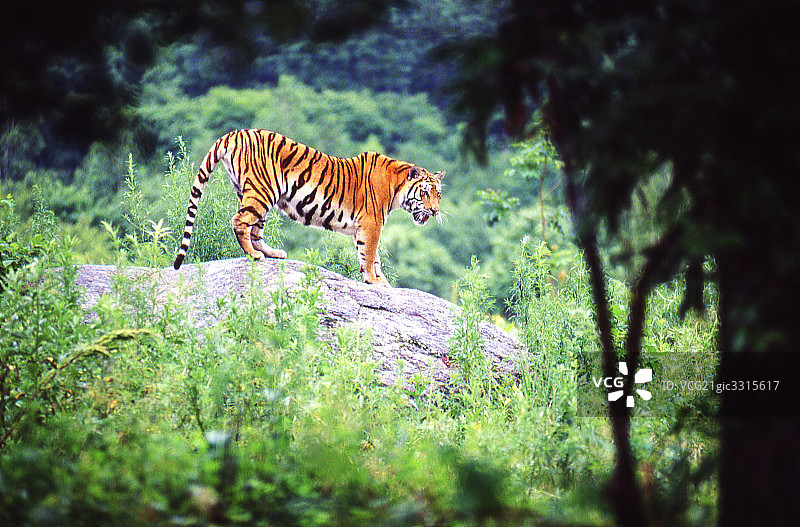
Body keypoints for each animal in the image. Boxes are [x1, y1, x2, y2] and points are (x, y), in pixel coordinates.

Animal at [173, 129, 444, 286]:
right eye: (425, 193)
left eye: (438, 195)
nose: (435, 211)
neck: (396, 187)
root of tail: (234, 133)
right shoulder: (372, 223)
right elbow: (369, 254)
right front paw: (374, 280)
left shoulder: (366, 226)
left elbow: (371, 255)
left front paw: (381, 281)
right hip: (262, 191)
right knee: (239, 221)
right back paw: (254, 255)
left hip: (253, 194)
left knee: (255, 229)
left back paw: (273, 253)